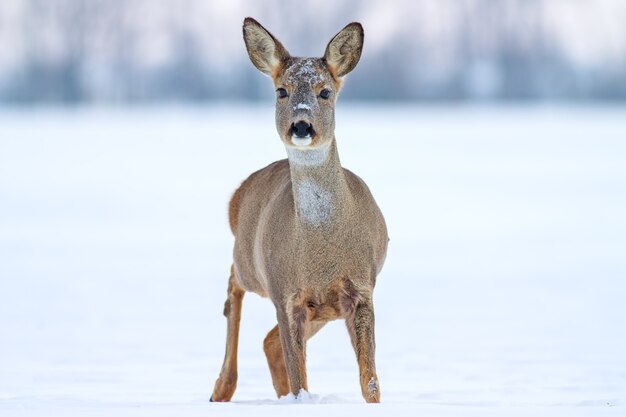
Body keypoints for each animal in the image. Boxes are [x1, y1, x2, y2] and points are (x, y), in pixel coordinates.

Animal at [210, 17, 386, 404]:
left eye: (325, 92)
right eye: (281, 91)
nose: (302, 125)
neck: (322, 253)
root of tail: (238, 195)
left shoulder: (362, 287)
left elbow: (369, 380)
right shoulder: (285, 293)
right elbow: (299, 379)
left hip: (321, 311)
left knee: (269, 342)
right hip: (252, 264)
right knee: (232, 285)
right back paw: (221, 388)